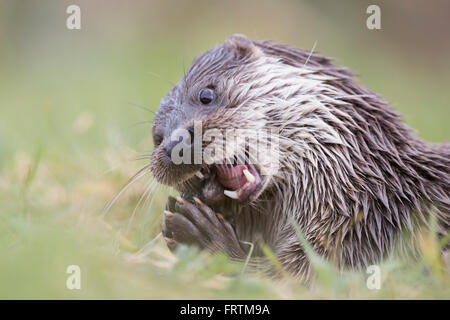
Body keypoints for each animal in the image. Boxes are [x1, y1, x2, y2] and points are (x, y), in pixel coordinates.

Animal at [150, 33, 450, 282]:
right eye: (157, 137)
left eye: (206, 94)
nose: (174, 143)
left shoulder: (356, 244)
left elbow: (290, 276)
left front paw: (202, 237)